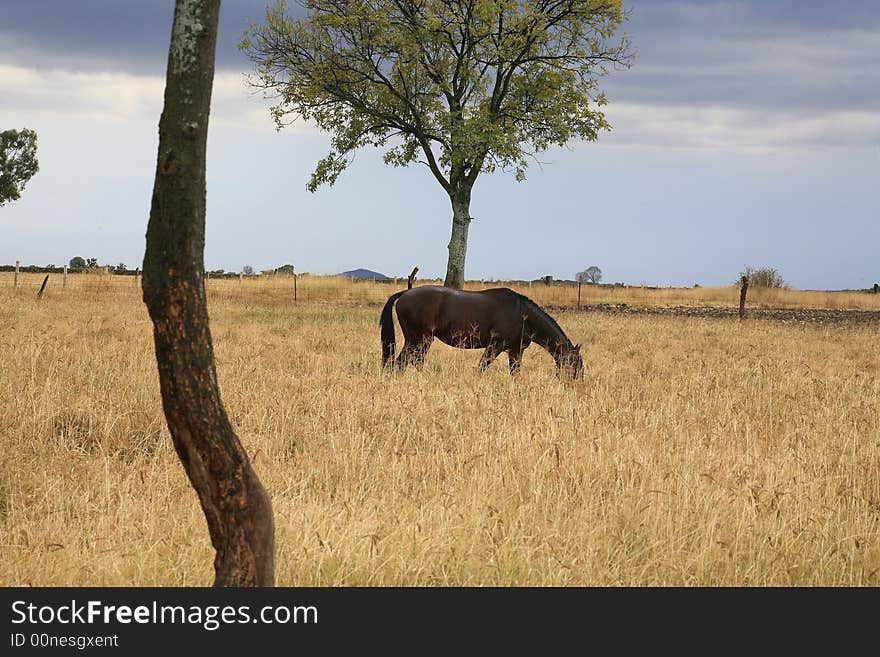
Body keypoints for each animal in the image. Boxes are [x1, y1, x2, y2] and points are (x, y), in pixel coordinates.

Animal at [380, 286, 580, 380]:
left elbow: (514, 372)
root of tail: (404, 294)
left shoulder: (515, 350)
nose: (573, 384)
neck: (522, 314)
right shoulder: (495, 346)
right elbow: (482, 367)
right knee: (404, 362)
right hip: (420, 339)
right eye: (575, 365)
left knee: (409, 362)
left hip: (418, 340)